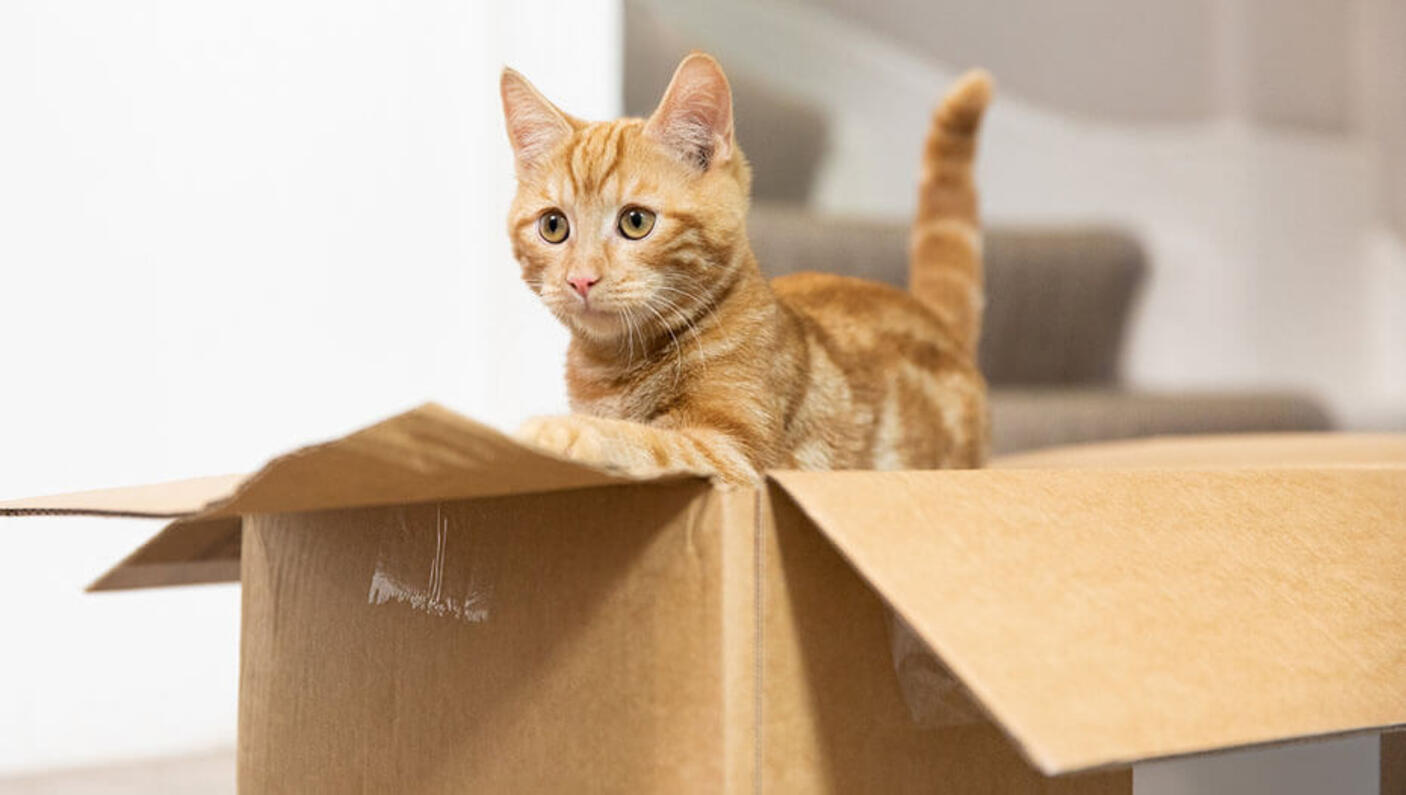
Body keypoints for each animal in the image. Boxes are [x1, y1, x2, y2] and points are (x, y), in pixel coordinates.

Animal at [500, 52, 995, 484]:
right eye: (553, 226)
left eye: (636, 221)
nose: (580, 279)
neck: (610, 369)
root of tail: (927, 312)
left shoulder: (738, 459)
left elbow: (648, 442)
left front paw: (556, 431)